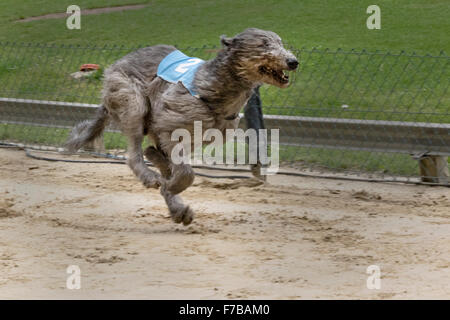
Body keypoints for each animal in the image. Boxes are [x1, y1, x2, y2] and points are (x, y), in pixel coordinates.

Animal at [66, 28, 298, 226]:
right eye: (263, 44)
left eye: (280, 42)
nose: (293, 61)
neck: (215, 89)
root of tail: (115, 65)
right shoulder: (169, 122)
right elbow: (186, 173)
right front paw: (170, 185)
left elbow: (178, 167)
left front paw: (170, 185)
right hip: (132, 100)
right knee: (134, 153)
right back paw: (151, 177)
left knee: (155, 156)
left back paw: (174, 201)